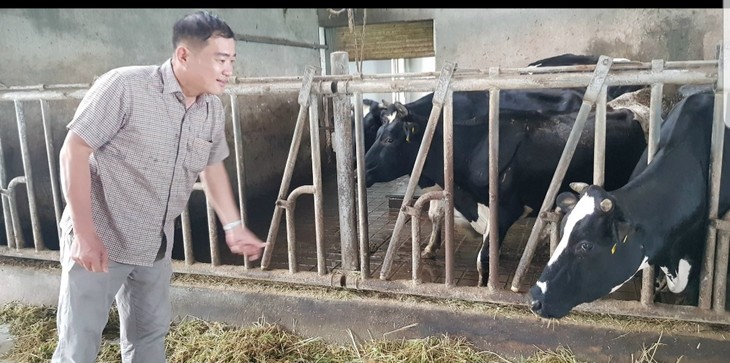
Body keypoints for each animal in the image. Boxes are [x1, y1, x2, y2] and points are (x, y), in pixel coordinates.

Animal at [362, 96, 644, 288]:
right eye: (376, 132)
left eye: (389, 139)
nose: (359, 170)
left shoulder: (505, 209)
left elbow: (483, 259)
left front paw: (484, 287)